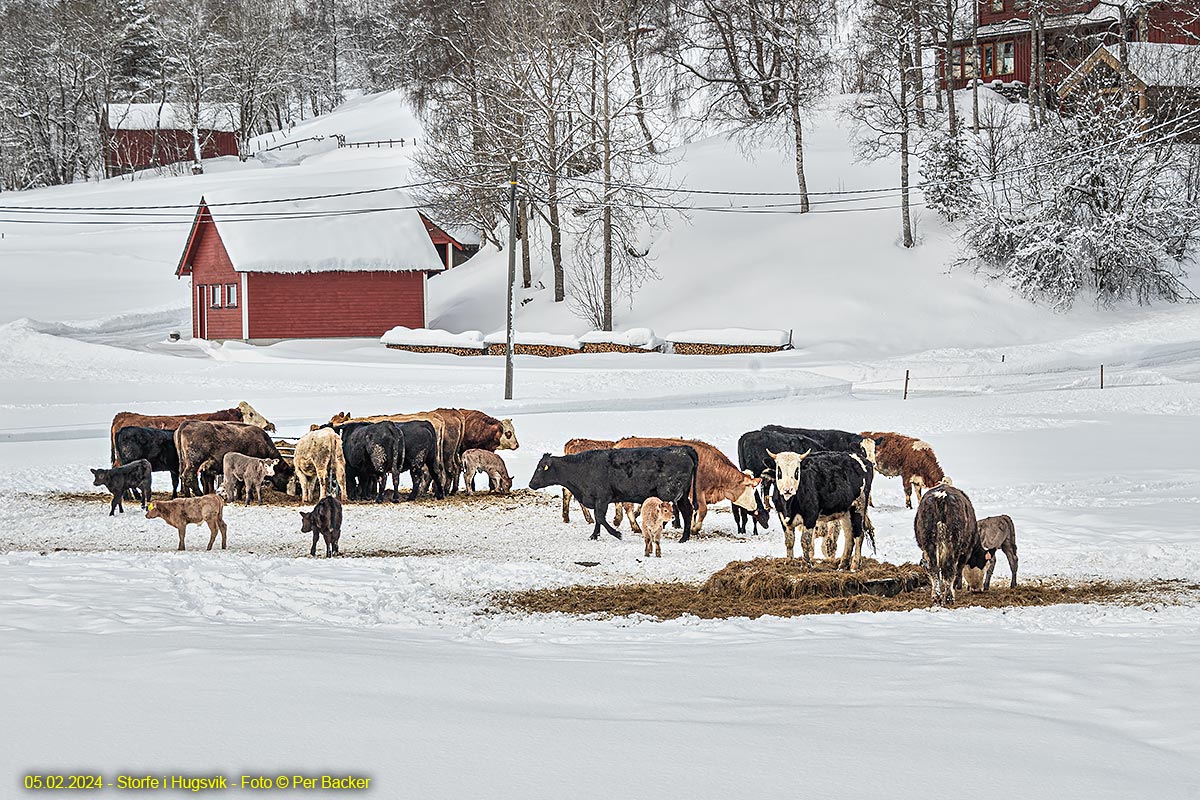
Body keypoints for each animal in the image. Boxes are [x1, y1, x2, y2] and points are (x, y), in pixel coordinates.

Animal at [530, 443, 700, 544]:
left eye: (540, 468)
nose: (531, 484)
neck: (582, 468)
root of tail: (683, 449)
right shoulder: (597, 500)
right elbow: (598, 519)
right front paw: (594, 535)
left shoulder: (603, 498)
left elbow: (600, 517)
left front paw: (617, 534)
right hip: (682, 495)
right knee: (687, 510)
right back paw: (684, 538)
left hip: (671, 493)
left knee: (682, 511)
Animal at [614, 434, 763, 534]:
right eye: (750, 487)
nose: (755, 507)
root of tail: (619, 445)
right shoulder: (697, 491)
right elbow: (702, 510)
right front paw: (694, 529)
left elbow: (693, 511)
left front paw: (691, 525)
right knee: (627, 506)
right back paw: (635, 526)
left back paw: (618, 519)